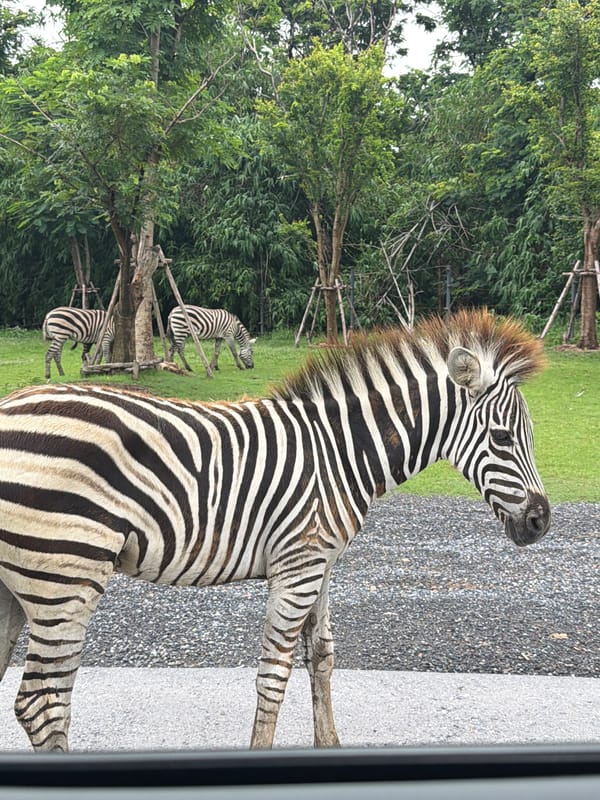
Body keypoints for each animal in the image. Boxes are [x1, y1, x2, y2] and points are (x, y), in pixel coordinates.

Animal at [0, 309, 550, 752]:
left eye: (528, 435)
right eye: (503, 437)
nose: (541, 521)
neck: (340, 453)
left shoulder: (320, 563)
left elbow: (323, 657)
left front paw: (329, 746)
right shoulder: (299, 566)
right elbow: (274, 673)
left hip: (20, 584)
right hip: (65, 574)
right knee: (43, 702)